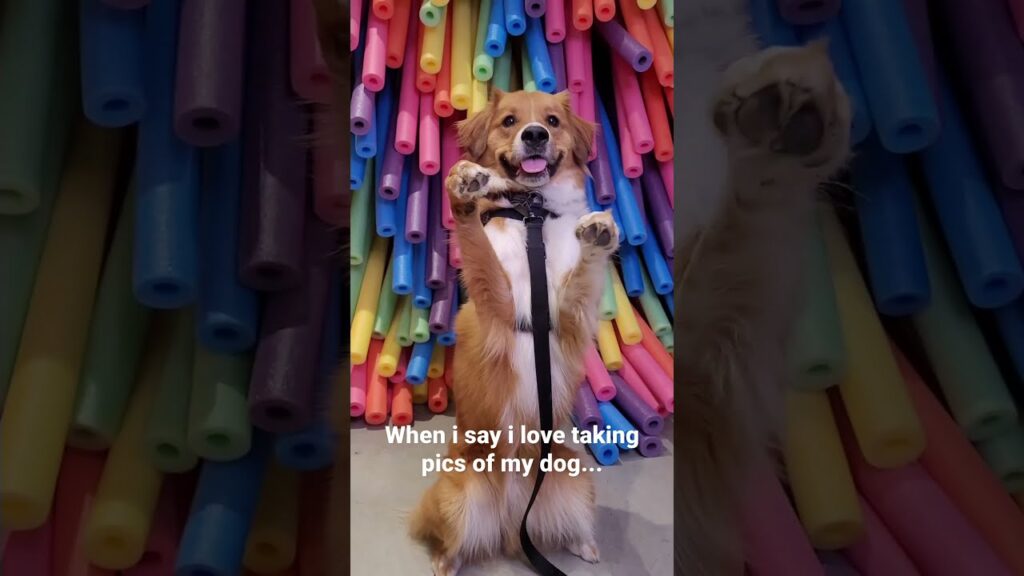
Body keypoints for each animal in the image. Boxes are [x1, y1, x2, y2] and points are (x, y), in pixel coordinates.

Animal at [405, 87, 614, 569]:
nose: (535, 135)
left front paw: (600, 232)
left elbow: (585, 271)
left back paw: (585, 545)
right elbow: (477, 244)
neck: (530, 216)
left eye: (553, 121)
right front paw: (463, 188)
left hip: (575, 476)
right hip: (457, 493)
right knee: (449, 539)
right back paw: (446, 563)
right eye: (509, 121)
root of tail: (511, 519)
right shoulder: (496, 304)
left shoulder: (569, 316)